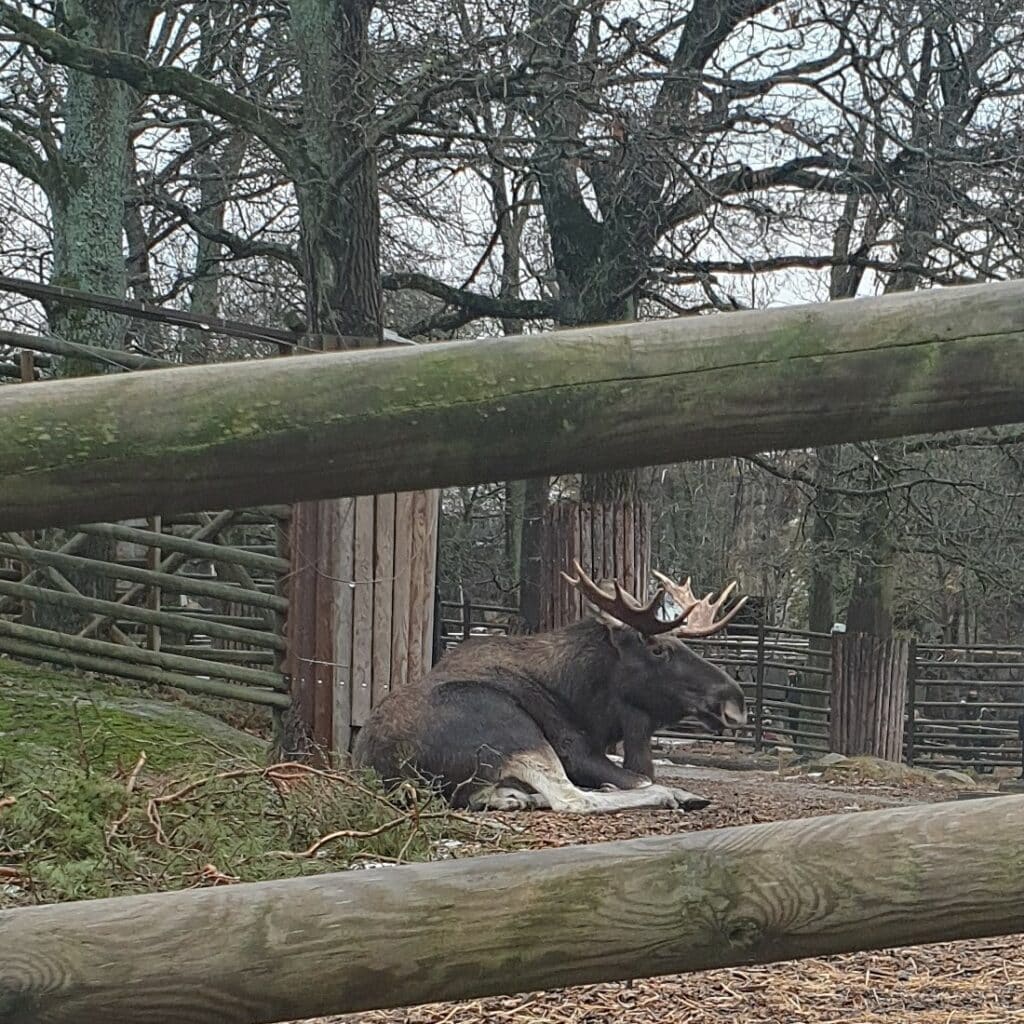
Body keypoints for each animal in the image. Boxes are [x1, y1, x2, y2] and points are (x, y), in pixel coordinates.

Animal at [356, 561, 749, 815]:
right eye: (658, 648)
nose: (736, 701)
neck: (591, 706)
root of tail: (392, 772)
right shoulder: (576, 751)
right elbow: (639, 778)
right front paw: (673, 790)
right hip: (515, 730)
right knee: (571, 799)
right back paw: (668, 794)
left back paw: (518, 797)